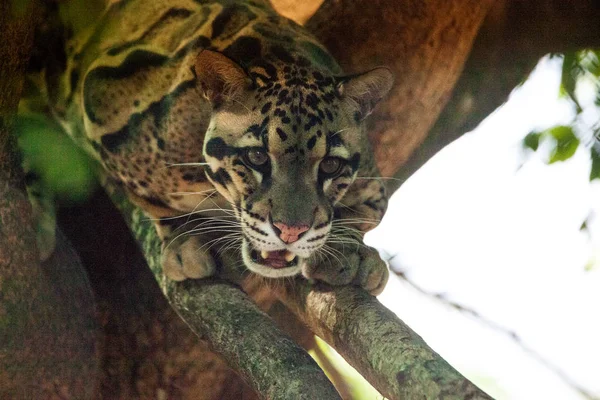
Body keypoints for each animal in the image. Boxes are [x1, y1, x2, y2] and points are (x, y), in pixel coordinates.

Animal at [29, 0, 394, 294]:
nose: (291, 232)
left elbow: (365, 215)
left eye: (331, 165)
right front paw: (187, 238)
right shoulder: (98, 107)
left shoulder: (373, 186)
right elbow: (155, 203)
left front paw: (349, 250)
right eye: (256, 157)